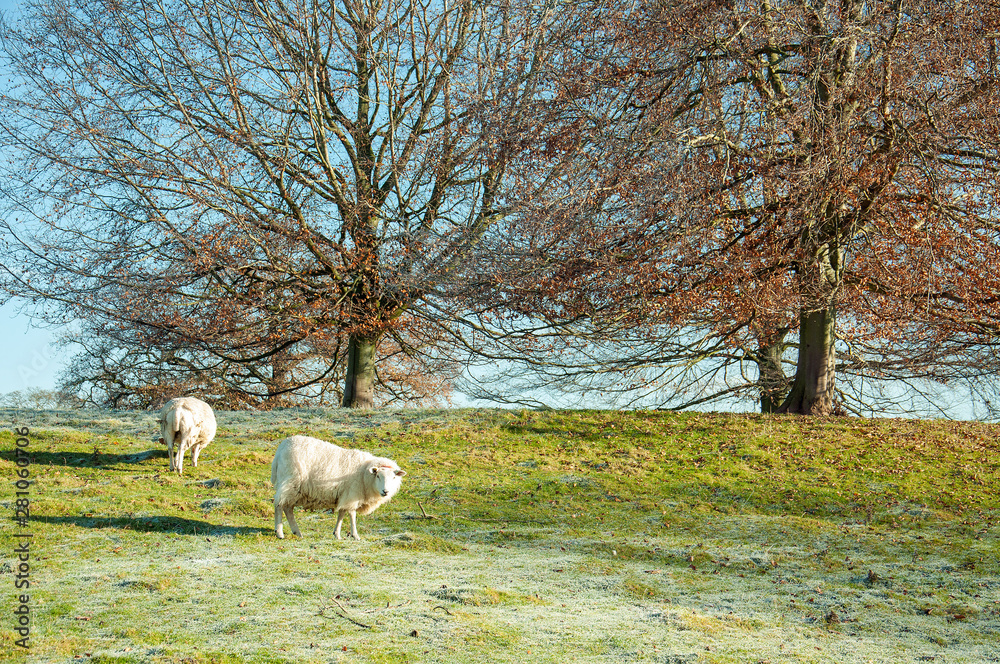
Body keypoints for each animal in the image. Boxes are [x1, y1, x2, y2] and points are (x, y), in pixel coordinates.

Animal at [272, 436, 408, 540]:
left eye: (393, 477)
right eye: (378, 476)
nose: (386, 491)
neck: (364, 473)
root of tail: (281, 448)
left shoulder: (345, 495)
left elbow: (341, 513)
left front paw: (337, 534)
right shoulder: (353, 494)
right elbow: (352, 514)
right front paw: (355, 535)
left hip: (294, 489)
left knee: (288, 508)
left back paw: (297, 532)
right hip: (290, 482)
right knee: (279, 504)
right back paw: (279, 533)